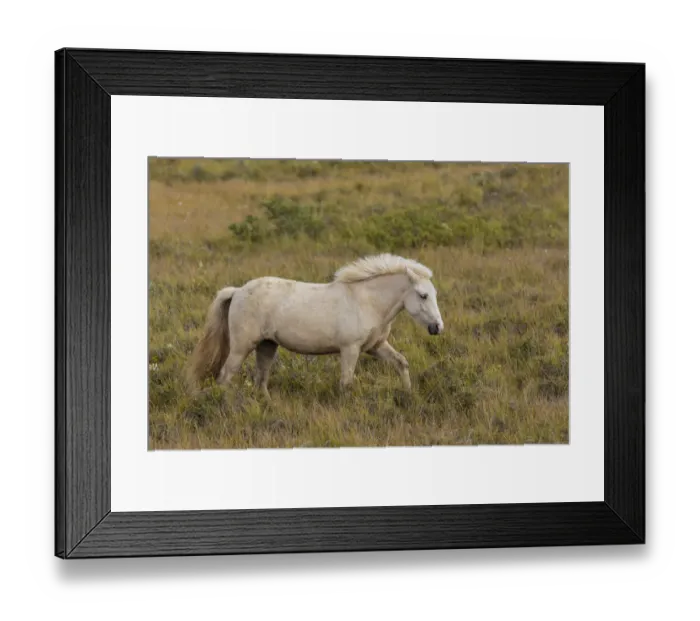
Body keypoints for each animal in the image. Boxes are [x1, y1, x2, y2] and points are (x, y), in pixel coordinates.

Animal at [186, 253, 444, 399]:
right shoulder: (350, 349)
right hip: (242, 348)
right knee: (225, 377)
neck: (366, 301)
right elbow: (346, 382)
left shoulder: (376, 346)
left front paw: (408, 395)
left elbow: (401, 363)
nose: (438, 328)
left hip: (267, 345)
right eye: (422, 295)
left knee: (261, 379)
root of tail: (237, 291)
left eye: (434, 294)